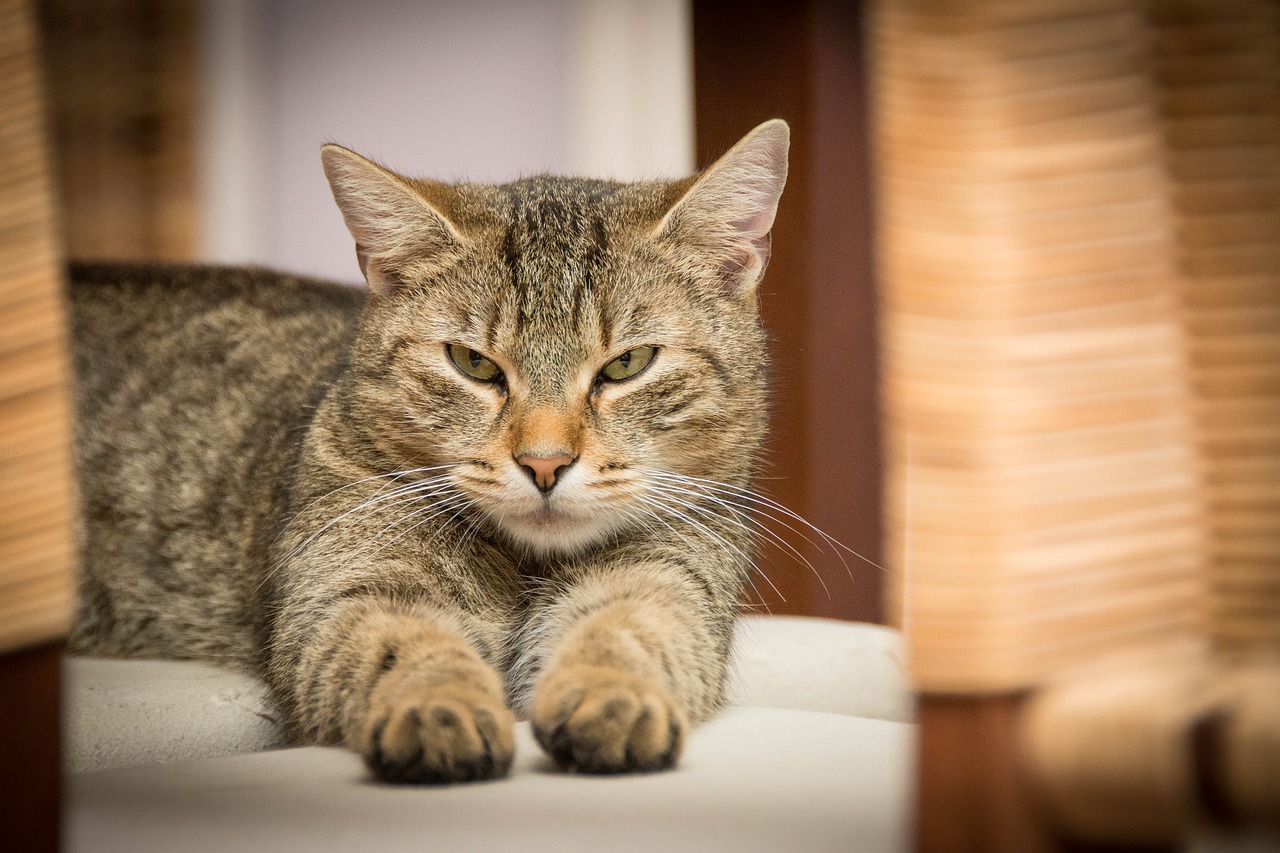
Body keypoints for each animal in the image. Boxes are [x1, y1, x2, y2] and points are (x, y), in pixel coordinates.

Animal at [72, 117, 788, 778]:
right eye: (473, 363)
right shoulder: (350, 588)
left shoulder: (672, 576)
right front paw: (438, 709)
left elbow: (628, 629)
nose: (545, 463)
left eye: (627, 364)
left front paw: (612, 697)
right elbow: (407, 643)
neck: (524, 566)